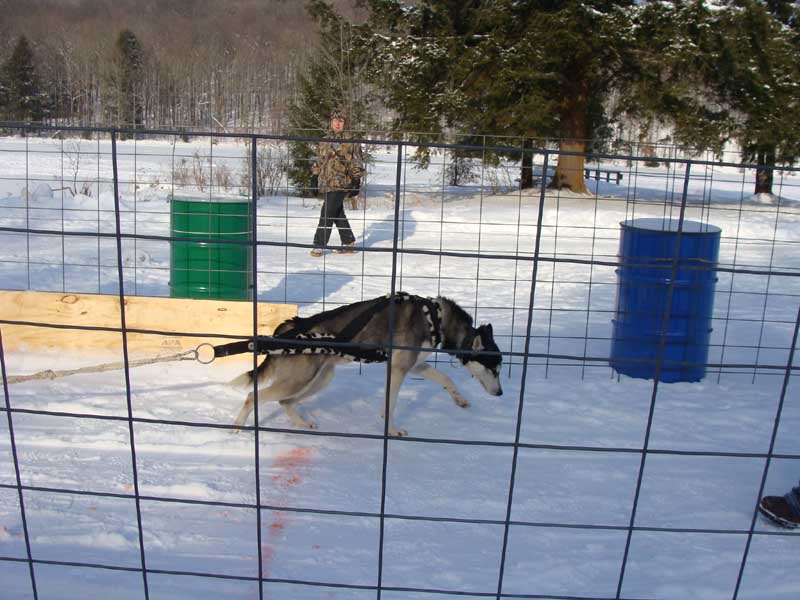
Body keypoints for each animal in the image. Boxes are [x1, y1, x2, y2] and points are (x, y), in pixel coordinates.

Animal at [231, 294, 504, 436]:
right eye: (493, 368)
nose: (501, 393)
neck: (435, 318)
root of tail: (288, 326)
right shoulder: (398, 369)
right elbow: (390, 405)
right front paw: (391, 431)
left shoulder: (414, 366)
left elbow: (446, 379)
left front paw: (460, 399)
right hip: (299, 379)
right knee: (252, 396)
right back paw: (237, 427)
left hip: (320, 379)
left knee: (284, 402)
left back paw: (303, 424)